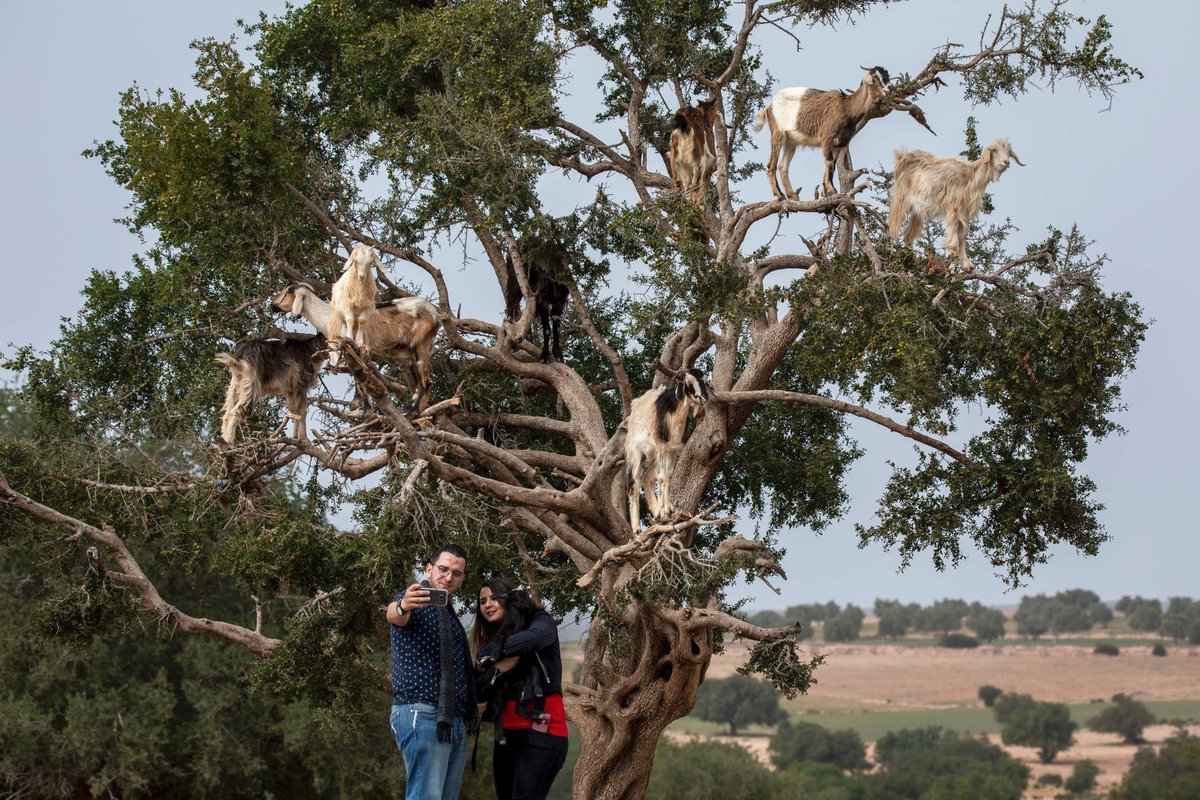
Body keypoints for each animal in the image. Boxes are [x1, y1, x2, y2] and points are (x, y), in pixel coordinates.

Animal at [624, 369, 705, 532]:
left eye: (704, 381)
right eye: (689, 384)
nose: (702, 398)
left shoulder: (671, 449)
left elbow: (668, 476)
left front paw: (667, 509)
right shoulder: (661, 448)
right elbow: (661, 477)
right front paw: (664, 511)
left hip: (652, 455)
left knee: (647, 478)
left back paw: (655, 510)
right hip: (637, 453)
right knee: (634, 483)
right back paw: (636, 529)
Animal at [753, 67, 897, 201]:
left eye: (887, 76)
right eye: (875, 76)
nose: (890, 88)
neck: (847, 108)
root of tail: (770, 106)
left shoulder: (839, 144)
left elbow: (833, 166)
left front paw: (828, 192)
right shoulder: (826, 138)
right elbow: (829, 163)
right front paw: (832, 190)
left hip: (791, 141)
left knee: (783, 166)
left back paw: (793, 196)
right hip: (778, 133)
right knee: (772, 164)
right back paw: (780, 195)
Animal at [888, 139, 1027, 273]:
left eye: (1009, 152)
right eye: (995, 150)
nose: (1006, 163)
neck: (970, 177)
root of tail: (902, 157)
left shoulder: (964, 213)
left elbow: (962, 238)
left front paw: (967, 265)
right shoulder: (953, 210)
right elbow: (953, 241)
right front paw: (951, 268)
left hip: (918, 209)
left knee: (908, 234)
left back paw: (910, 259)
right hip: (901, 199)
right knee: (893, 227)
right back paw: (891, 252)